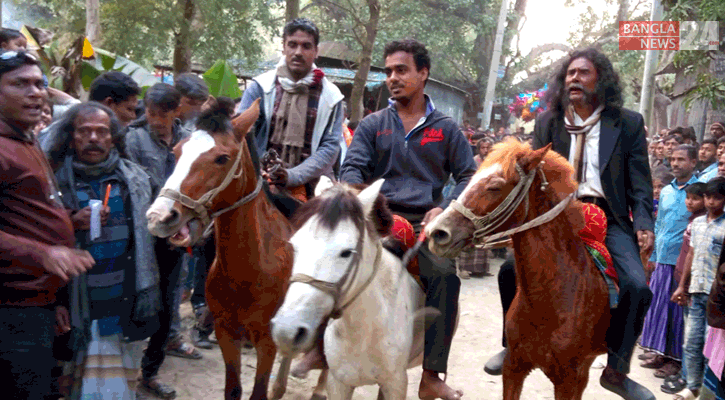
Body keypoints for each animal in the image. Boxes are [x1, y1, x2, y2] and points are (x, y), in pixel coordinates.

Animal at [146, 97, 292, 400]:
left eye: (222, 158)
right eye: (176, 151)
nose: (159, 217)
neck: (250, 270)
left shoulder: (267, 342)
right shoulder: (227, 334)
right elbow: (232, 390)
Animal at [270, 180, 430, 400]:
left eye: (346, 252)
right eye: (294, 246)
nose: (286, 330)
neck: (363, 332)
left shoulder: (395, 383)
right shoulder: (339, 383)